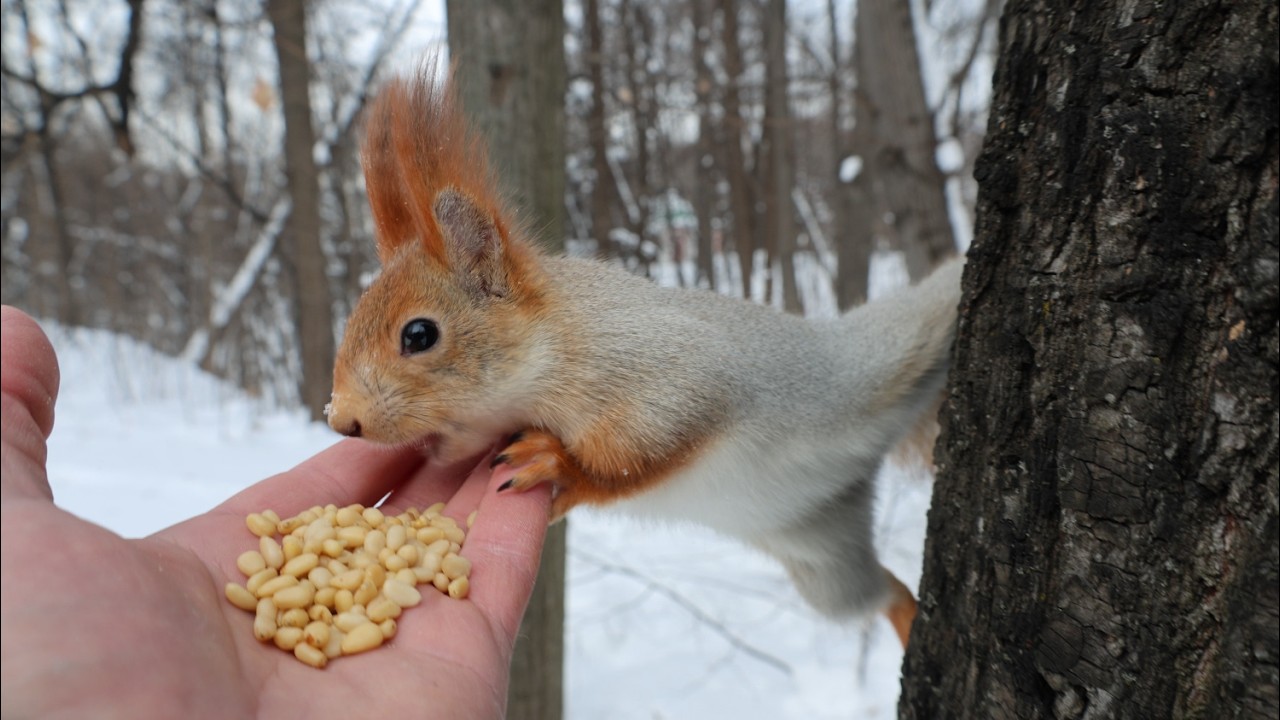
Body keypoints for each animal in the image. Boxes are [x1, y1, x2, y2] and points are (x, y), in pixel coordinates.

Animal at [325, 63, 963, 648]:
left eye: (419, 335)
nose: (341, 419)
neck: (558, 346)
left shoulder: (671, 382)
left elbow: (642, 461)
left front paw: (560, 467)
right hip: (820, 557)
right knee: (883, 589)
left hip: (895, 345)